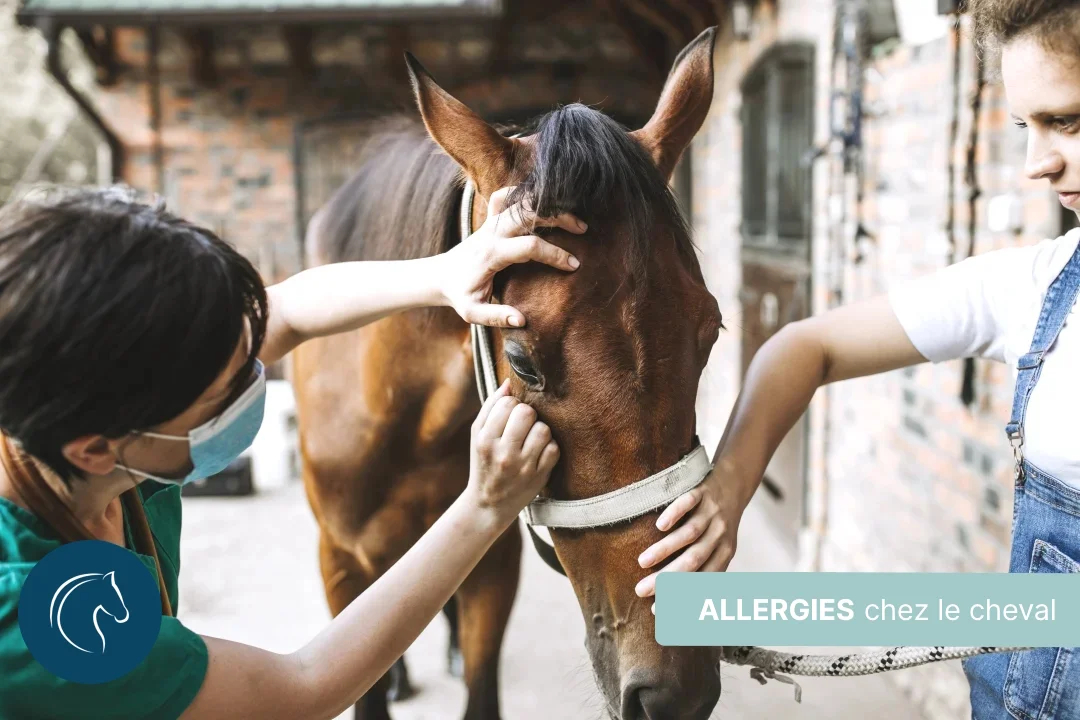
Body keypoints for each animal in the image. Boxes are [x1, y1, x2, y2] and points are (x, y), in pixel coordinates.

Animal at [290, 27, 723, 720]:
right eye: (522, 361)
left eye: (710, 331)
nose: (674, 693)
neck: (401, 414)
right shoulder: (338, 563)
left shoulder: (493, 559)